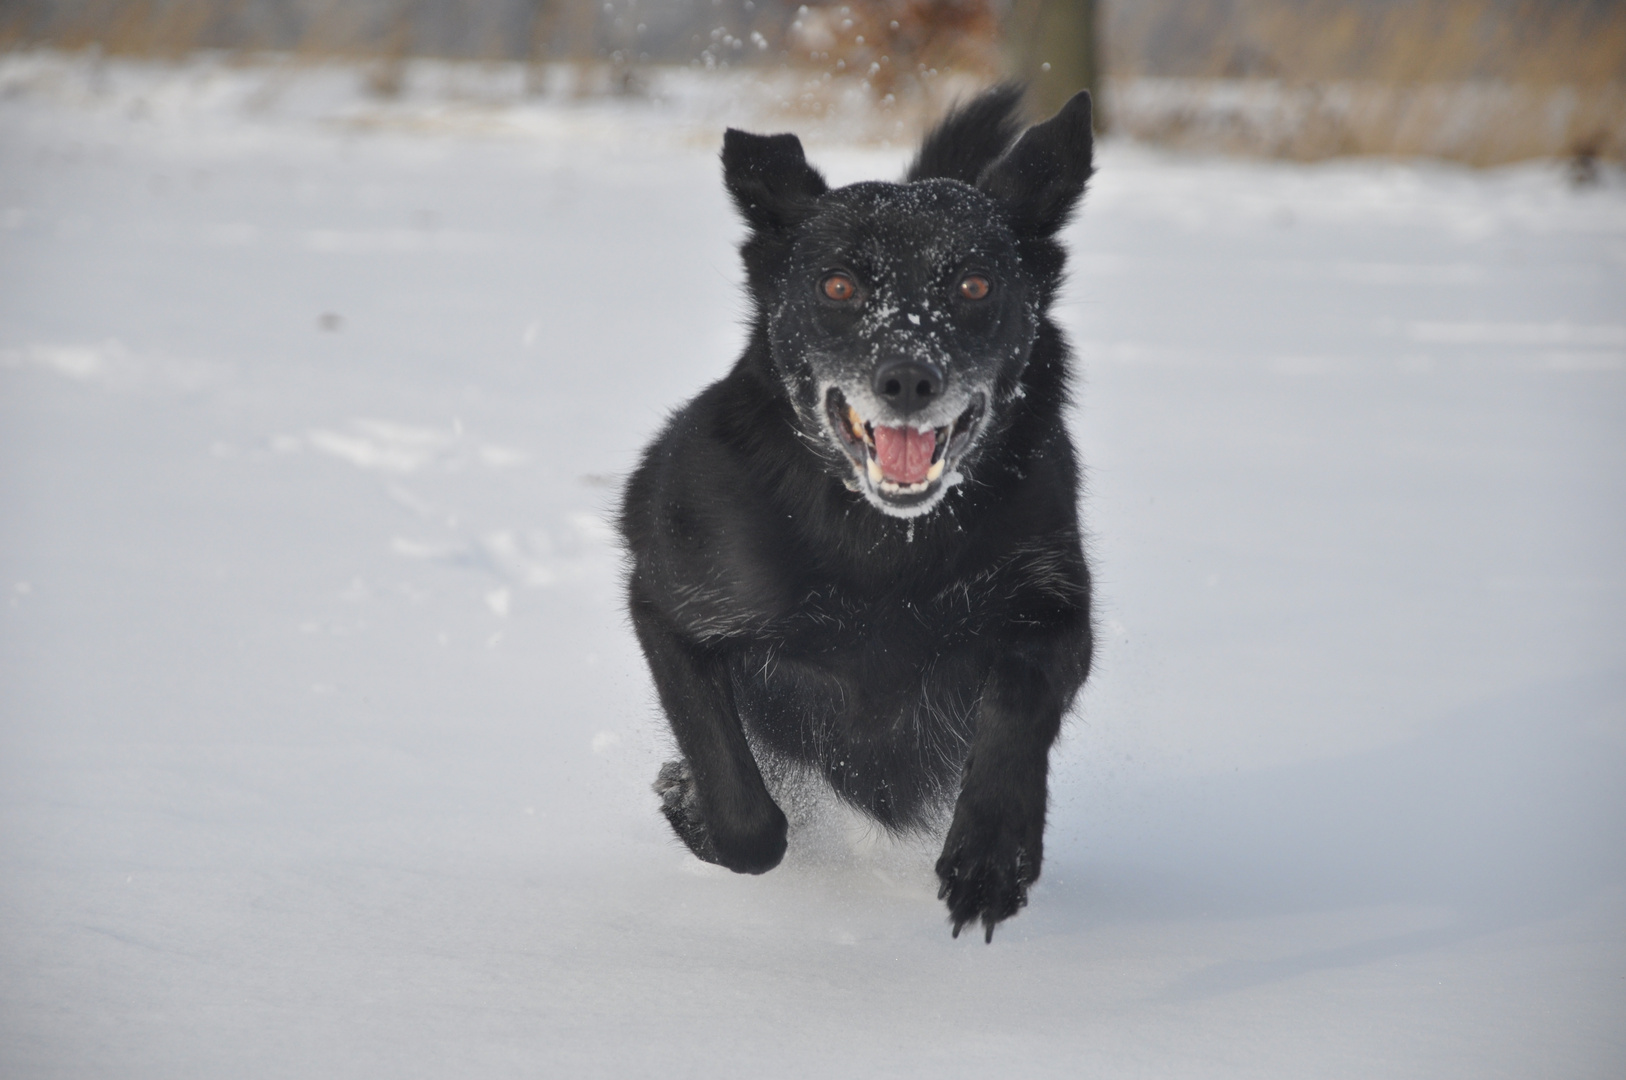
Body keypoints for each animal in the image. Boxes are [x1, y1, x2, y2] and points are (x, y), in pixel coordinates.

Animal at [617, 88, 1092, 943]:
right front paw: (691, 806)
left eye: (975, 285)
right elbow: (744, 815)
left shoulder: (1057, 610)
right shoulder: (670, 608)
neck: (885, 546)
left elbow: (1016, 706)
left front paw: (991, 857)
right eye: (838, 287)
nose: (908, 378)